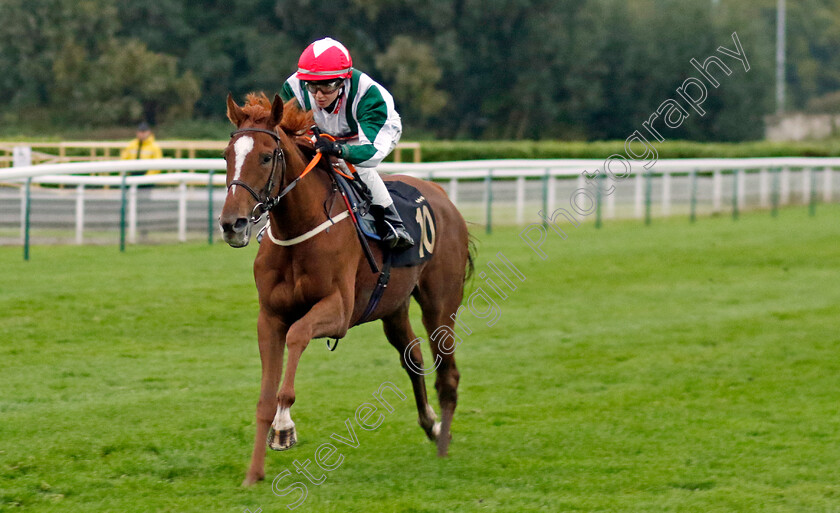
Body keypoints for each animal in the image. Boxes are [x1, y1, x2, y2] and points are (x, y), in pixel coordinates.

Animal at [220, 94, 476, 486]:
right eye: (226, 156)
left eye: (265, 156)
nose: (231, 224)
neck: (301, 228)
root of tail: (442, 196)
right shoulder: (270, 316)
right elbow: (264, 397)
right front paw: (254, 473)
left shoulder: (338, 311)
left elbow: (297, 336)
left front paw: (284, 426)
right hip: (393, 307)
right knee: (413, 357)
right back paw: (431, 425)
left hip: (440, 305)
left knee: (447, 372)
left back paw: (443, 445)